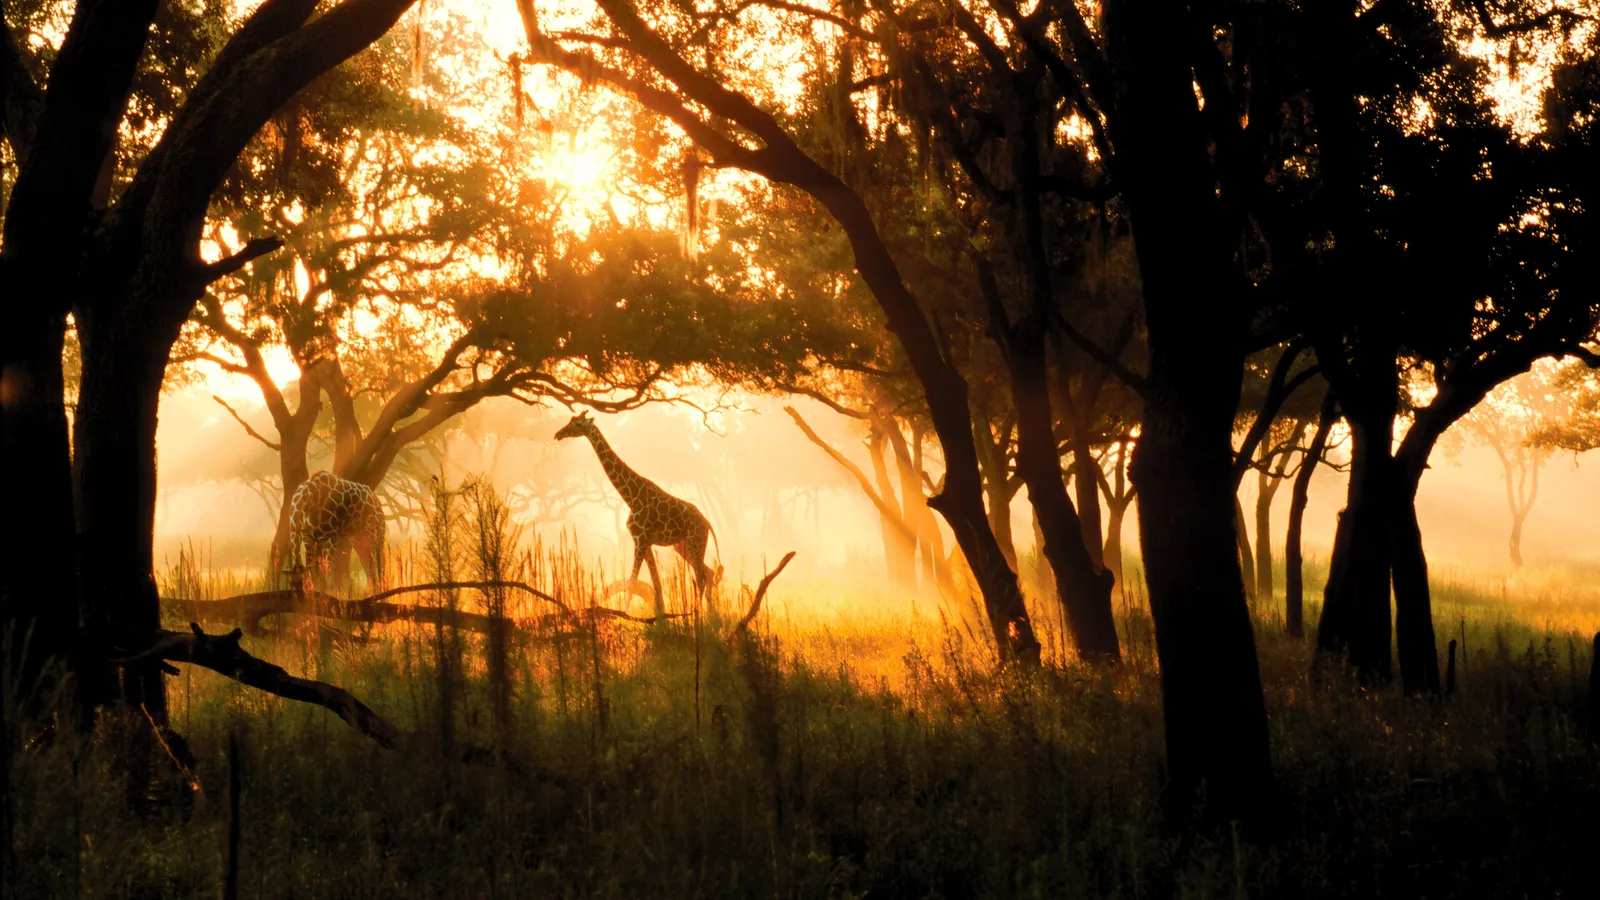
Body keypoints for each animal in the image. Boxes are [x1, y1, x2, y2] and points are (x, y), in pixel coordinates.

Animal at [555, 411, 721, 617]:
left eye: (578, 424)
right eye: (570, 420)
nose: (558, 434)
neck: (631, 497)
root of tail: (707, 523)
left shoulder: (640, 539)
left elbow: (631, 582)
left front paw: (625, 614)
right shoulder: (646, 542)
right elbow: (656, 583)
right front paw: (661, 616)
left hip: (694, 542)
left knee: (700, 575)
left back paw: (698, 614)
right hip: (682, 546)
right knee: (708, 572)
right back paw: (710, 614)